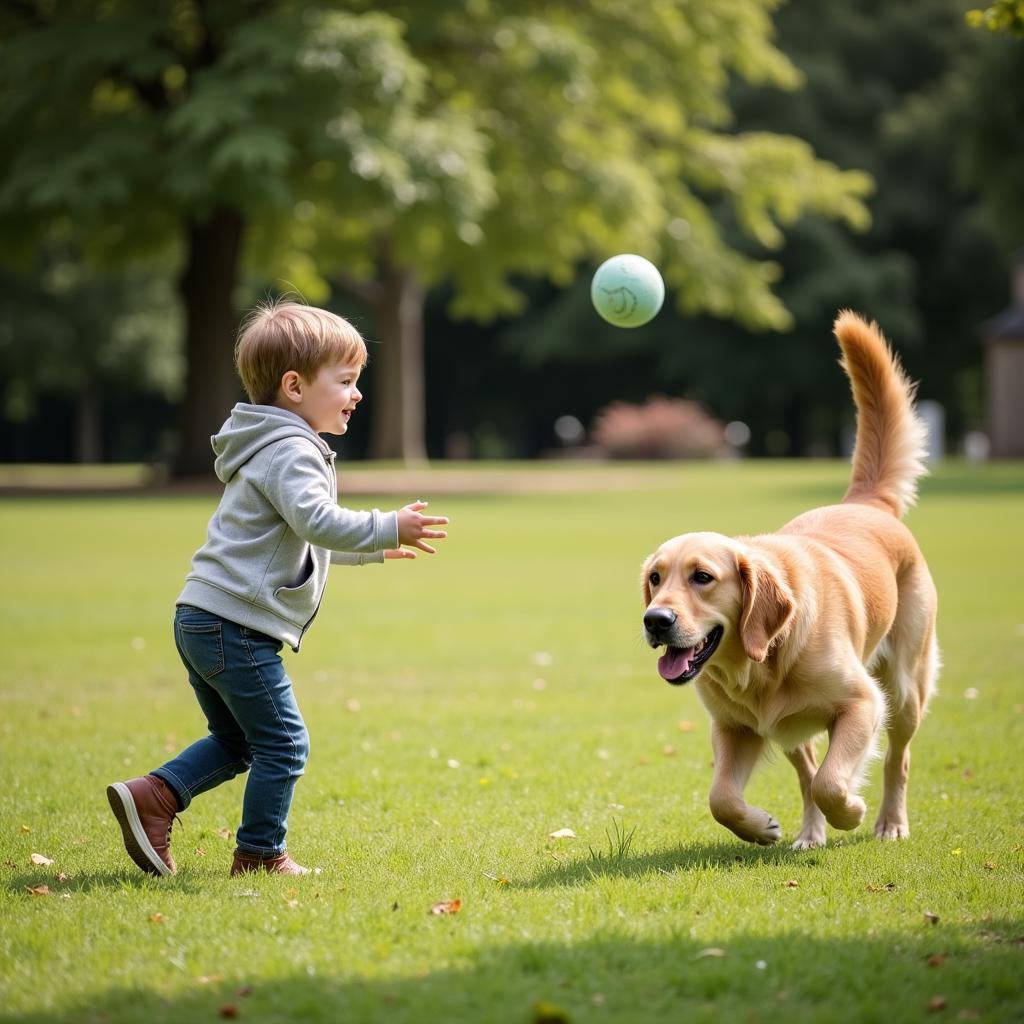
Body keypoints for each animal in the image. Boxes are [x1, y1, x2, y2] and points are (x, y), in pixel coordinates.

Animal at [643, 313, 937, 847]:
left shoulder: (863, 701)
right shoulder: (734, 727)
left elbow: (832, 781)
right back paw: (810, 833)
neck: (763, 658)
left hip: (905, 687)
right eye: (655, 578)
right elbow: (722, 798)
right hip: (790, 729)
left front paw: (851, 811)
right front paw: (760, 827)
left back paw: (890, 822)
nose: (655, 620)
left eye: (702, 577)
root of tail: (865, 502)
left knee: (896, 759)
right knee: (807, 770)